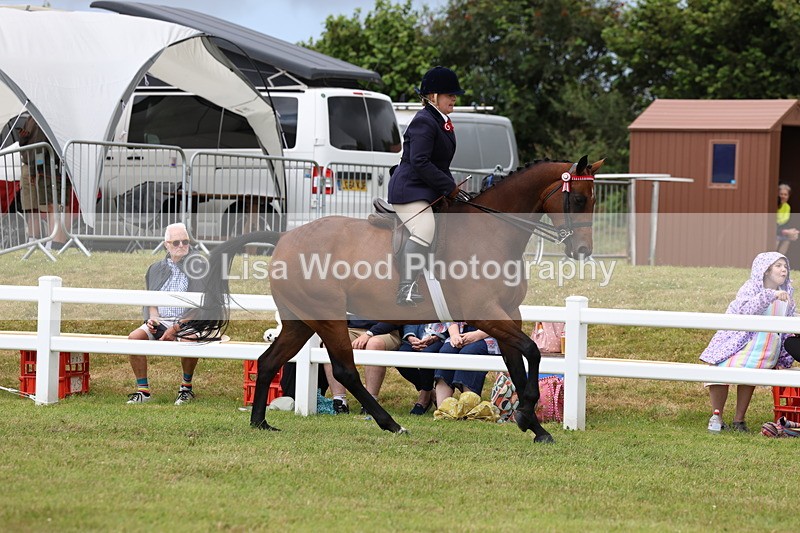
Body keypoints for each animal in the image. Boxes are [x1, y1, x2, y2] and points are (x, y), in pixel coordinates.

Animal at [183, 156, 603, 443]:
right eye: (579, 200)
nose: (582, 251)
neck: (492, 232)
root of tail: (285, 238)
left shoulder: (507, 314)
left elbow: (517, 361)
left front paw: (533, 424)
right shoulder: (486, 313)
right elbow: (531, 352)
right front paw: (530, 416)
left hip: (301, 320)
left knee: (270, 361)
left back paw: (261, 423)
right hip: (327, 316)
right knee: (345, 371)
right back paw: (391, 424)